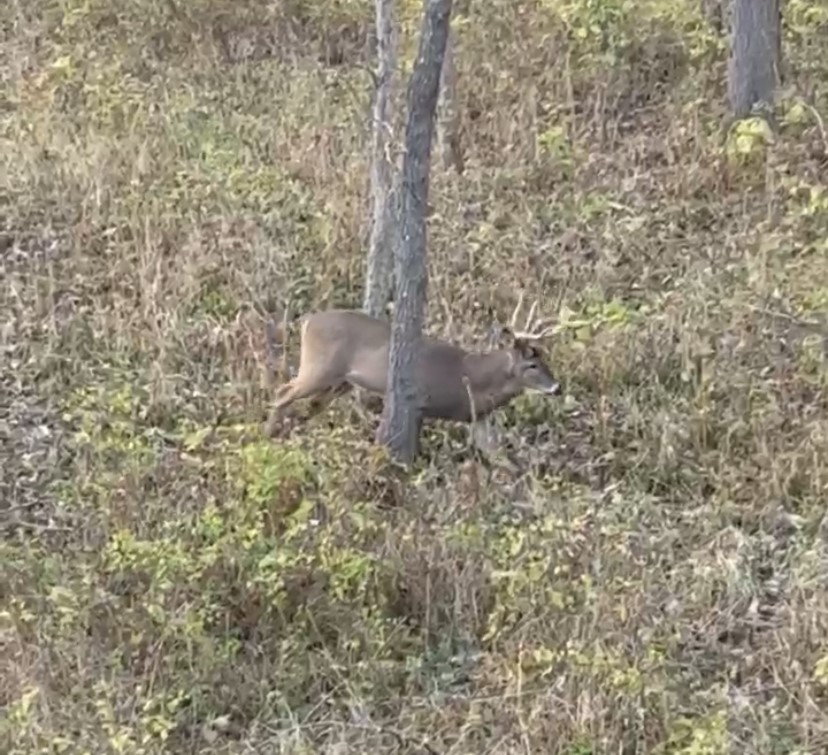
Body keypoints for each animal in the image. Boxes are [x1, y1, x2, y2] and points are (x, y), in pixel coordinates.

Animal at [264, 296, 564, 460]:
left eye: (545, 358)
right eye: (532, 364)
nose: (557, 387)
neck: (471, 377)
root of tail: (307, 321)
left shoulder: (478, 417)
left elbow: (497, 455)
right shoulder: (420, 401)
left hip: (340, 383)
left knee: (304, 405)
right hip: (319, 368)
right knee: (282, 392)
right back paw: (268, 433)